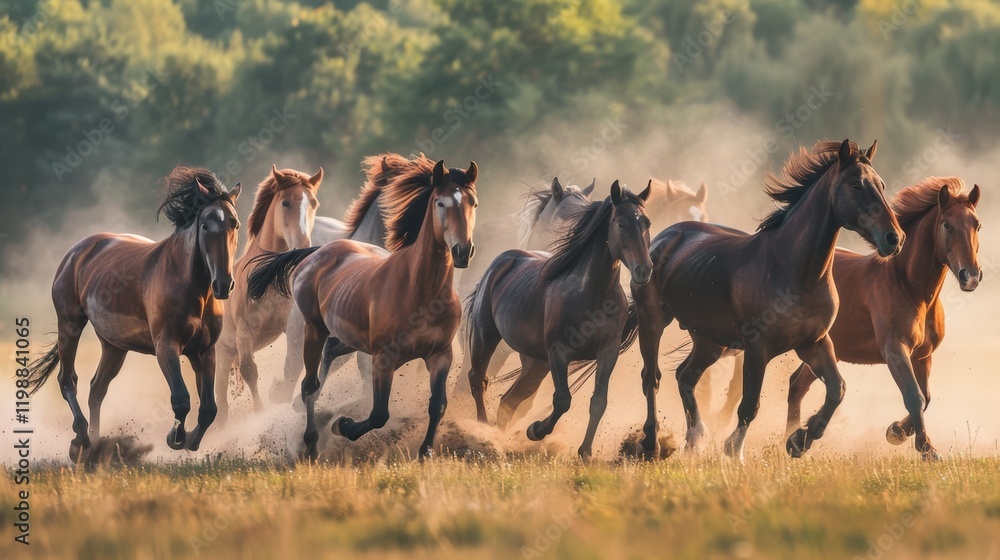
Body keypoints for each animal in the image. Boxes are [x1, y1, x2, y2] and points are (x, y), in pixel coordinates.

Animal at [26, 167, 242, 459]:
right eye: (205, 225)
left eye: (234, 224)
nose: (223, 285)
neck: (193, 288)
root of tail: (76, 252)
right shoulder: (166, 347)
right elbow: (182, 399)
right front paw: (175, 437)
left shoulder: (204, 351)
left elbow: (209, 408)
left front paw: (191, 441)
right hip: (69, 325)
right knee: (67, 380)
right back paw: (81, 440)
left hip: (114, 346)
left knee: (97, 389)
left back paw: (95, 444)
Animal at [247, 156, 478, 459]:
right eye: (440, 203)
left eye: (473, 202)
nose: (463, 251)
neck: (421, 290)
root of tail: (317, 251)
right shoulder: (382, 358)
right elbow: (378, 412)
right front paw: (342, 425)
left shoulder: (440, 355)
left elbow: (437, 404)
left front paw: (425, 452)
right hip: (312, 333)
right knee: (306, 385)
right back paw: (309, 439)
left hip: (348, 337)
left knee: (327, 359)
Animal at [465, 181, 652, 459]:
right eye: (620, 223)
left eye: (647, 223)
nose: (644, 270)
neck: (592, 293)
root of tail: (501, 261)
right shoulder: (559, 352)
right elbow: (562, 400)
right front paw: (535, 430)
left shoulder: (608, 352)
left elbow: (599, 401)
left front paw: (585, 452)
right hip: (485, 336)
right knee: (478, 381)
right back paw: (481, 433)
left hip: (535, 364)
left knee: (509, 400)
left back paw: (500, 440)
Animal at [631, 139, 905, 461]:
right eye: (856, 185)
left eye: (881, 185)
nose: (894, 238)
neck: (796, 273)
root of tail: (664, 236)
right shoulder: (757, 348)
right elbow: (750, 405)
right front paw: (733, 452)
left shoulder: (815, 343)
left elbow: (837, 389)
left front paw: (800, 439)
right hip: (653, 322)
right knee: (652, 378)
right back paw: (652, 442)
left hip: (710, 341)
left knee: (686, 377)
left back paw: (695, 439)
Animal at [781, 178, 982, 460]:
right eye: (947, 225)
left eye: (977, 225)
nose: (970, 276)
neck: (911, 289)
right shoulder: (895, 351)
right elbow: (915, 396)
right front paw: (925, 448)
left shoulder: (922, 356)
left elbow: (927, 396)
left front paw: (897, 431)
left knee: (798, 384)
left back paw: (795, 440)